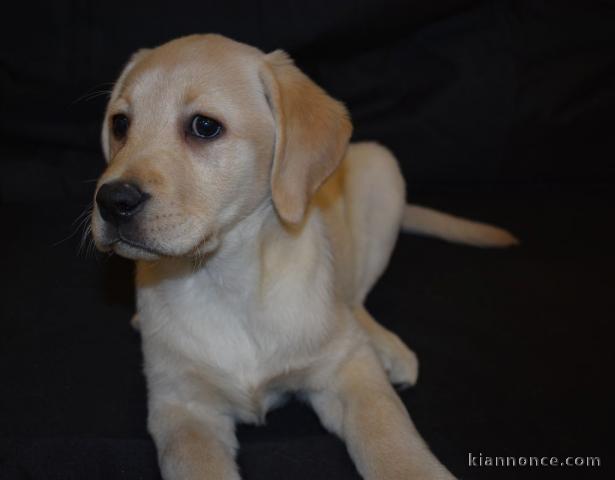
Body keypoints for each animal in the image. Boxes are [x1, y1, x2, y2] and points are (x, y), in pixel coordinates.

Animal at [90, 34, 516, 480]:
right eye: (120, 125)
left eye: (204, 126)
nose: (112, 201)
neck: (224, 279)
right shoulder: (181, 407)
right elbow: (200, 465)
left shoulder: (347, 370)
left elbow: (390, 437)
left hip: (383, 174)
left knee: (355, 298)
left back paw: (386, 345)